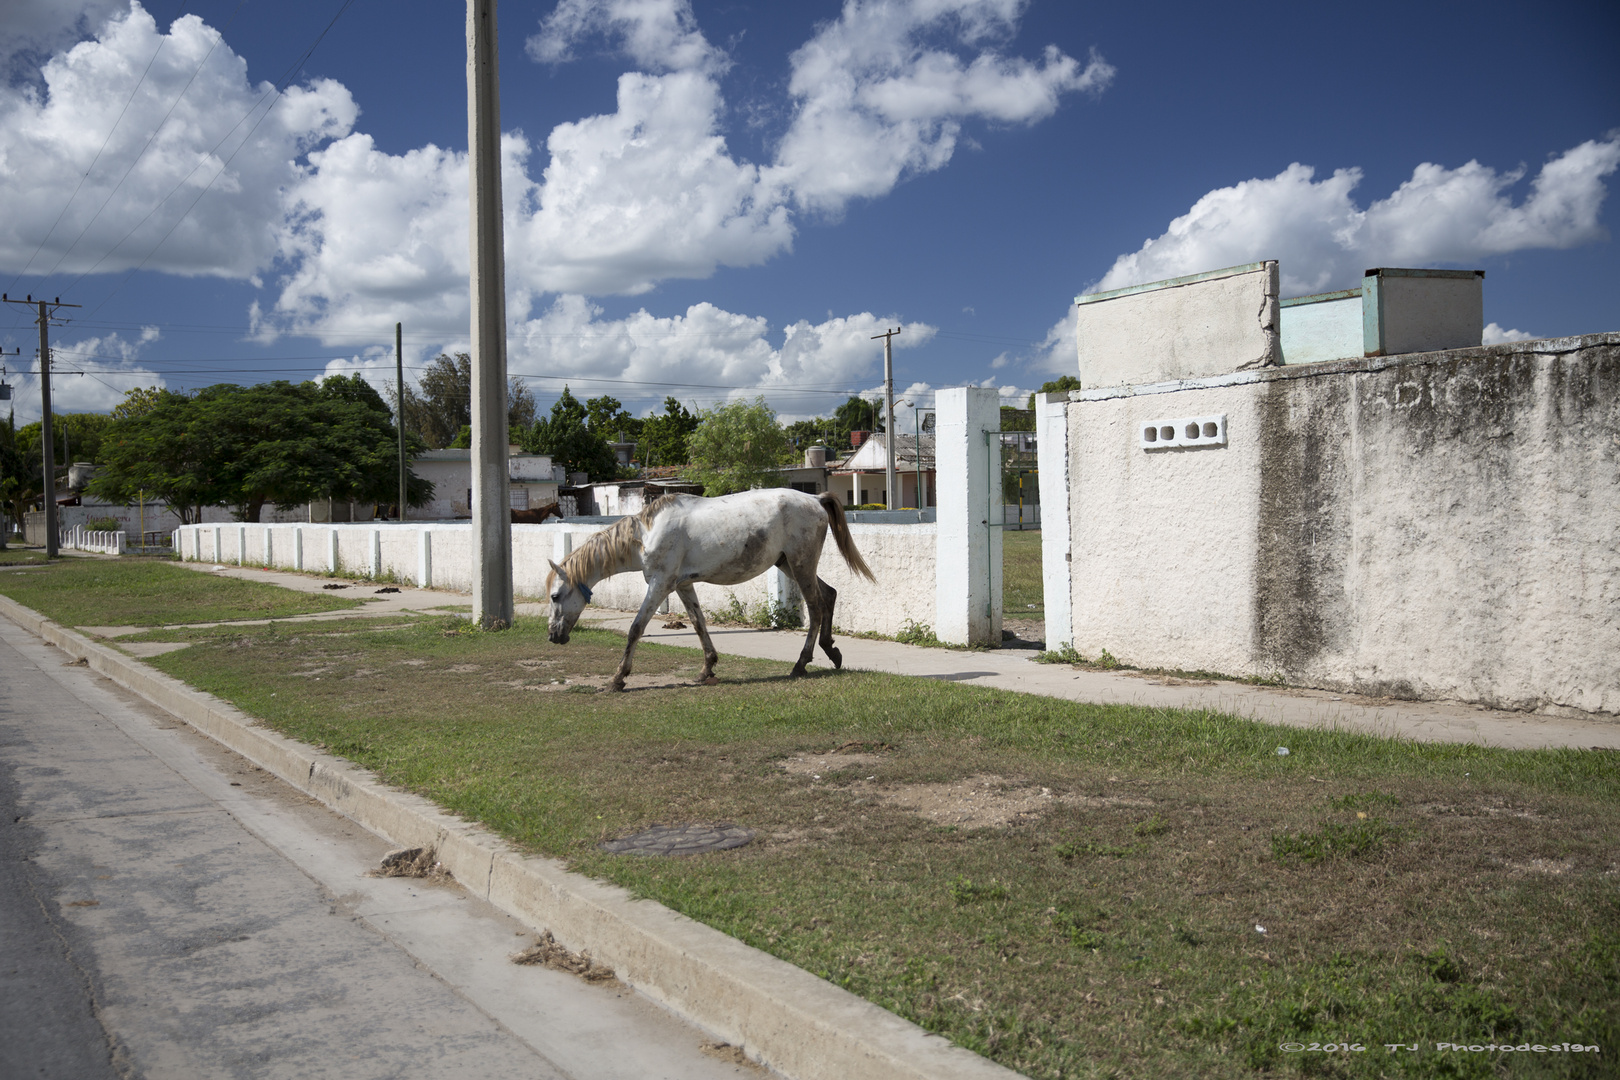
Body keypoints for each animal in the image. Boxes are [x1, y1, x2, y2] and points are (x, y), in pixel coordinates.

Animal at [544, 488, 874, 693]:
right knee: (829, 595)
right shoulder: (683, 584)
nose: (553, 636)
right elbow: (699, 624)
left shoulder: (660, 584)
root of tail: (815, 499)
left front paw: (618, 679)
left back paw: (800, 664)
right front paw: (707, 669)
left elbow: (636, 628)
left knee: (816, 607)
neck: (646, 535)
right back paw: (831, 651)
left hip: (800, 564)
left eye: (555, 596)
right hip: (788, 564)